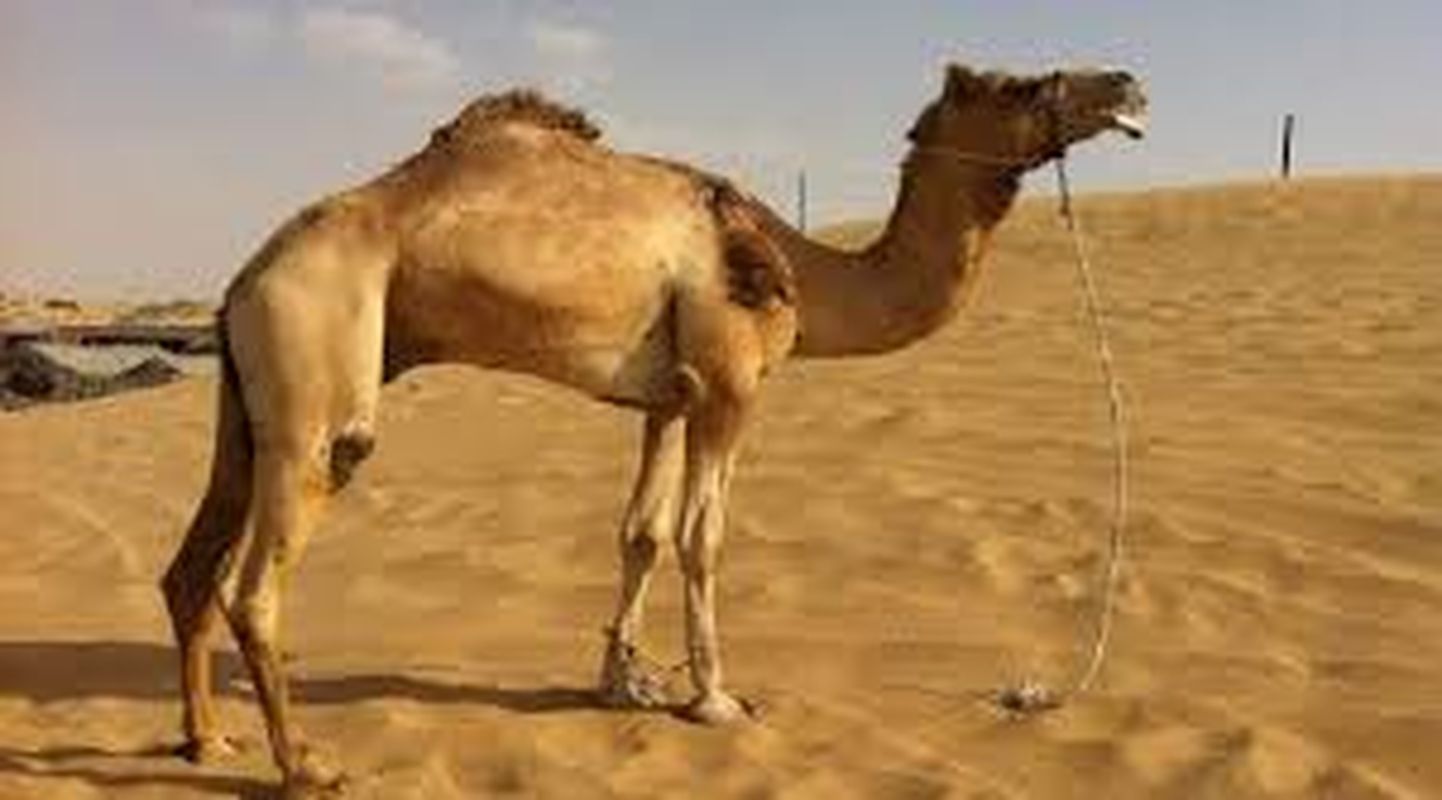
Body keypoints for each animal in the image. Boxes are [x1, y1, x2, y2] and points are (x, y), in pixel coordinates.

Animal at [160, 63, 1146, 795]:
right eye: (1022, 83)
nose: (1129, 85)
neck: (805, 274)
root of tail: (240, 280)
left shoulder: (667, 398)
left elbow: (640, 531)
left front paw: (621, 680)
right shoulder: (728, 384)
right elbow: (703, 538)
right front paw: (713, 698)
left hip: (247, 400)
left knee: (190, 569)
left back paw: (207, 742)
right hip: (318, 371)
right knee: (258, 578)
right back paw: (305, 766)